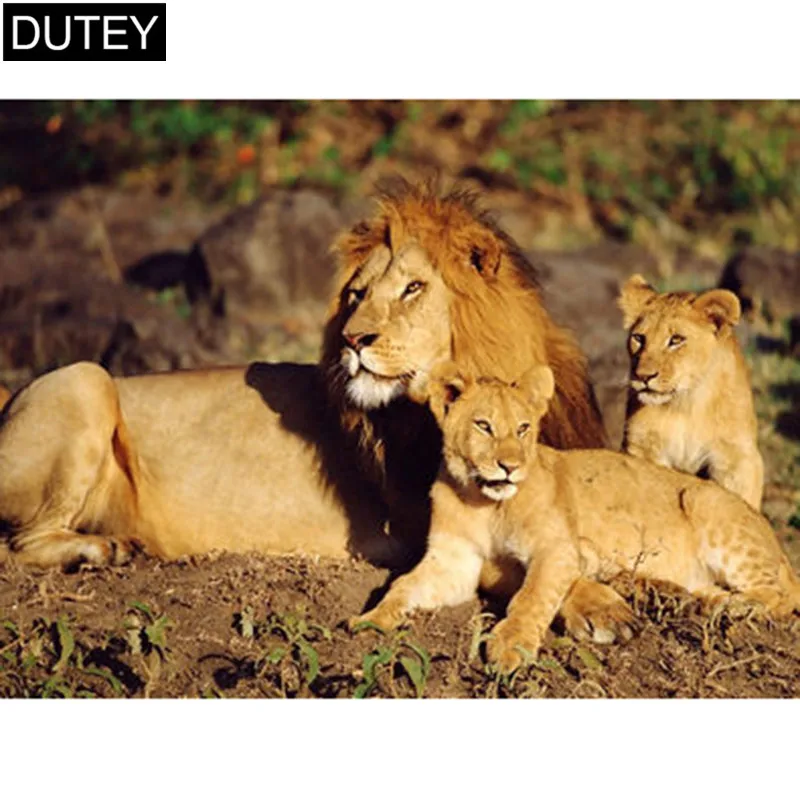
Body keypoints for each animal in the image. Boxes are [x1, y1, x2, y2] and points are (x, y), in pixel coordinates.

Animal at [0, 179, 614, 633]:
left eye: (413, 289)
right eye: (356, 295)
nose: (352, 339)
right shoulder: (429, 528)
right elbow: (527, 568)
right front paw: (601, 605)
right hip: (84, 378)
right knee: (19, 544)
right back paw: (102, 550)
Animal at [351, 364, 800, 674]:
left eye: (523, 428)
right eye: (483, 426)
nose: (510, 467)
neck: (484, 501)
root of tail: (781, 549)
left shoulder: (558, 549)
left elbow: (532, 596)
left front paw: (511, 646)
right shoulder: (454, 562)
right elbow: (403, 587)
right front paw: (370, 621)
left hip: (703, 499)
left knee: (779, 596)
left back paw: (733, 608)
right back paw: (691, 600)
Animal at [618, 275, 763, 509]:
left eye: (676, 340)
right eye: (639, 338)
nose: (643, 376)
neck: (686, 404)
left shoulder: (737, 457)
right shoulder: (641, 445)